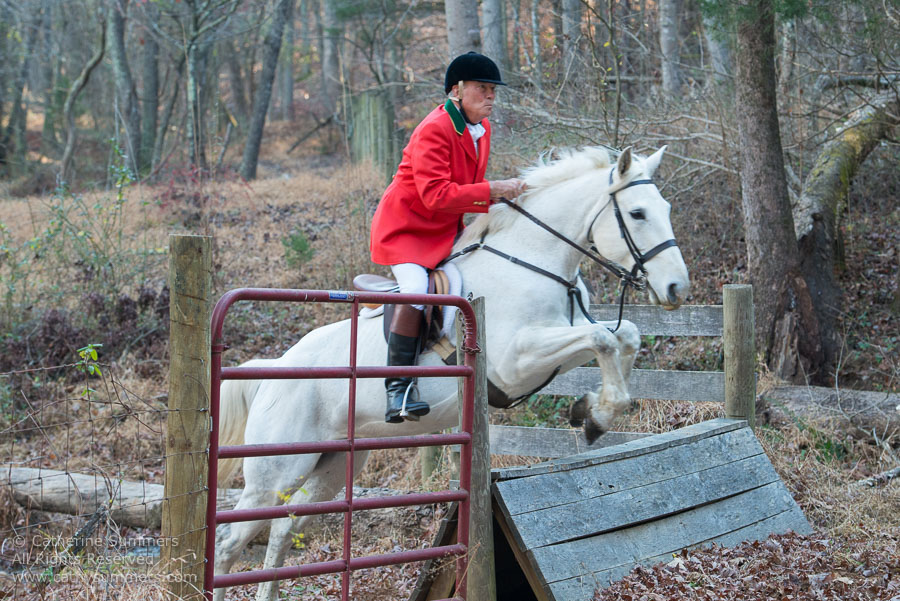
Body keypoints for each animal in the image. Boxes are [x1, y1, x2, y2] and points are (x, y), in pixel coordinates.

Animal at [211, 145, 688, 600]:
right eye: (638, 213)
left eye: (666, 208)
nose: (677, 289)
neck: (534, 260)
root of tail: (276, 368)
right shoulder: (515, 361)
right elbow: (604, 338)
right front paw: (598, 416)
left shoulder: (556, 343)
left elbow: (624, 335)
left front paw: (591, 410)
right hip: (275, 471)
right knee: (229, 541)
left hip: (333, 466)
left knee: (283, 527)